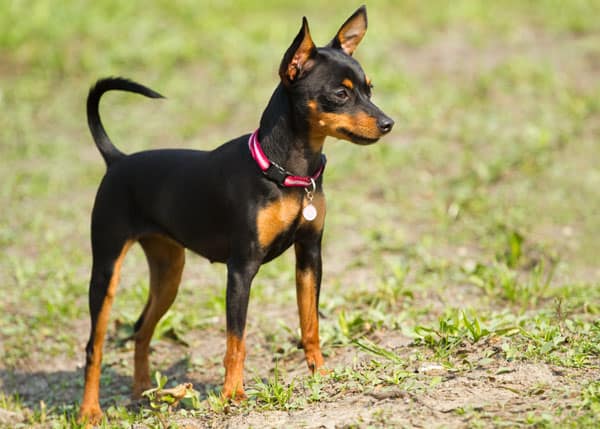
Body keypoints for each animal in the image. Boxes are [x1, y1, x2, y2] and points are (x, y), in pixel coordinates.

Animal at [78, 5, 394, 422]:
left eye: (369, 89)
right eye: (340, 94)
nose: (388, 123)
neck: (285, 171)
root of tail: (117, 160)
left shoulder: (310, 256)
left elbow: (309, 323)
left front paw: (320, 374)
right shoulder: (241, 268)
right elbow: (236, 340)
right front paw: (233, 394)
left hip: (169, 271)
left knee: (142, 328)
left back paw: (143, 391)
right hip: (107, 270)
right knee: (94, 346)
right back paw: (89, 411)